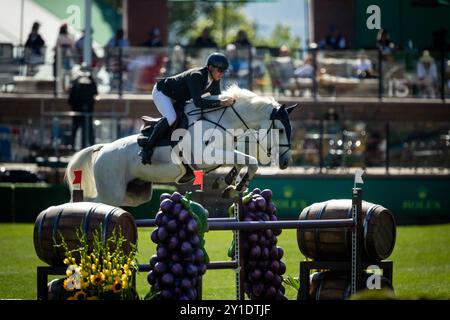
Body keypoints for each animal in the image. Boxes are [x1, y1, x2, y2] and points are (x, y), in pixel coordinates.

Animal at [65, 85, 298, 208]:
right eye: (280, 130)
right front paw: (236, 186)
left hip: (132, 194)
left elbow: (243, 161)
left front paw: (228, 184)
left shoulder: (222, 153)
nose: (286, 162)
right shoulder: (205, 157)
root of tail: (102, 149)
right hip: (111, 193)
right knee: (94, 201)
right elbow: (250, 160)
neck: (224, 120)